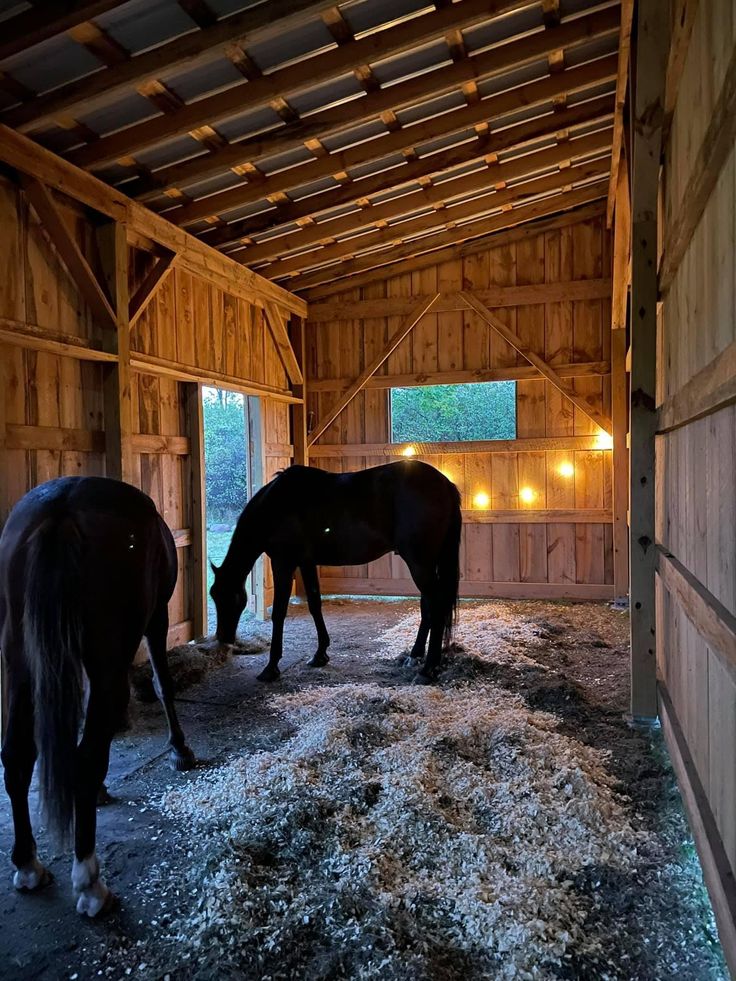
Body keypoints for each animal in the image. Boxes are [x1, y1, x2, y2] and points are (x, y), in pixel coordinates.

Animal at [0, 478, 194, 916]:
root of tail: (62, 508)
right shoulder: (157, 618)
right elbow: (162, 683)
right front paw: (180, 749)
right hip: (109, 657)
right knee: (85, 757)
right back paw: (90, 883)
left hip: (22, 660)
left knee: (18, 754)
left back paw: (28, 865)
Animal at [210, 460, 460, 680]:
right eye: (214, 597)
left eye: (231, 600)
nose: (224, 638)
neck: (277, 504)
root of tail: (444, 483)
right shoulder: (306, 563)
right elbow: (314, 603)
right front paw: (320, 654)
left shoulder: (283, 563)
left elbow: (279, 612)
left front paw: (271, 668)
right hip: (426, 564)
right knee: (428, 606)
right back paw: (415, 656)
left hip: (420, 564)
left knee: (436, 605)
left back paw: (427, 670)